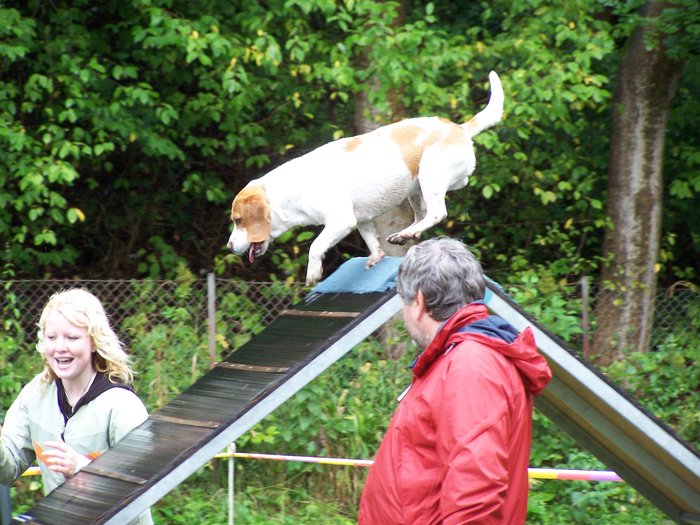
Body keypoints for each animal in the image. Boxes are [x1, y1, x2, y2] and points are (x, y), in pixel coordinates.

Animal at [230, 71, 504, 284]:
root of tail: (459, 129)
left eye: (238, 221)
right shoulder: (362, 220)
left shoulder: (341, 221)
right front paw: (376, 257)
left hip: (430, 175)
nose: (229, 247)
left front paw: (313, 273)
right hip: (415, 191)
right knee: (422, 216)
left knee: (437, 213)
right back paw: (405, 234)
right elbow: (372, 242)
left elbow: (315, 246)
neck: (289, 191)